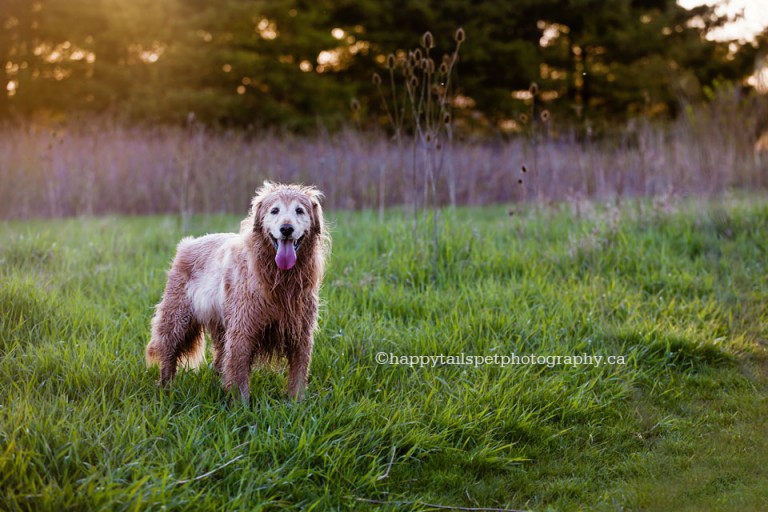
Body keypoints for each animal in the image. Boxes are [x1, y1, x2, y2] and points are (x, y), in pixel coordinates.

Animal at [146, 182, 328, 402]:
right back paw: (166, 388)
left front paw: (297, 402)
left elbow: (298, 373)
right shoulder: (243, 330)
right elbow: (239, 373)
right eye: (274, 210)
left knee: (219, 360)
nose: (286, 229)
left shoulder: (301, 332)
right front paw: (241, 405)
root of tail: (188, 243)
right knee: (168, 353)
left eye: (299, 210)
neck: (279, 279)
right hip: (177, 319)